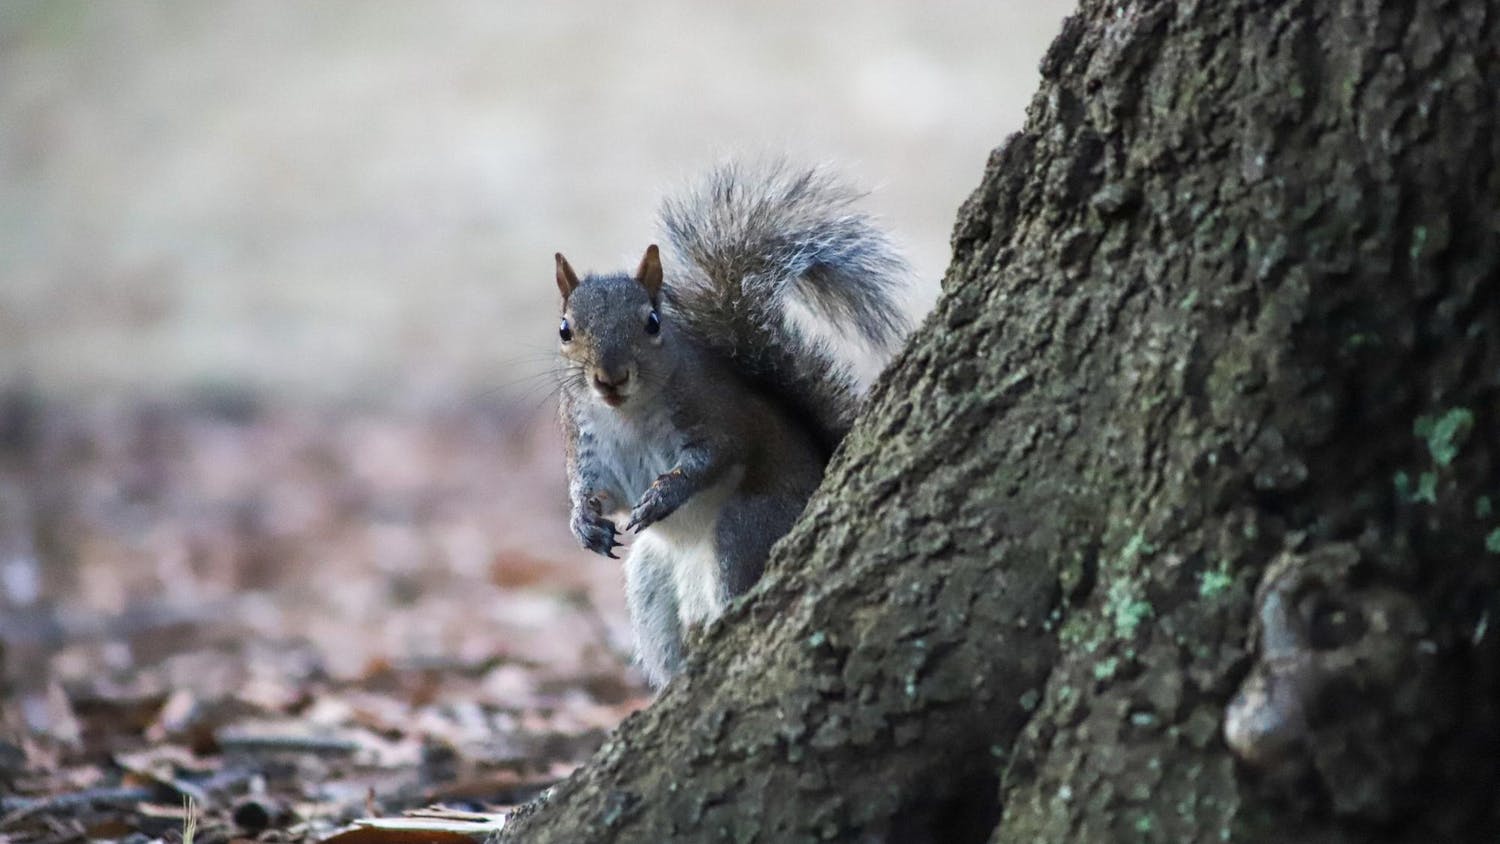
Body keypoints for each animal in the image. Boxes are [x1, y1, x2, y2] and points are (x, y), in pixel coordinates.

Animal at [553, 161, 911, 687]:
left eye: (653, 322)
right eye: (565, 329)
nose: (610, 378)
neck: (626, 413)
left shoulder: (716, 417)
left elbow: (712, 459)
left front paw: (665, 495)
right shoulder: (585, 442)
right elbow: (595, 491)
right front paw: (584, 522)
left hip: (744, 532)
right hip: (649, 581)